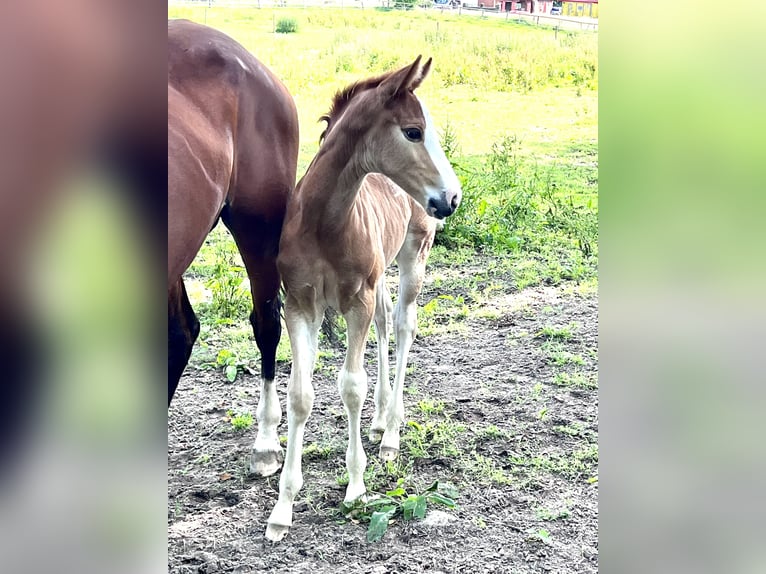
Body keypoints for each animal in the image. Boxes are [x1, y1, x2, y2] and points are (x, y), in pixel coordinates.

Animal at [268, 56, 462, 544]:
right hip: (377, 282)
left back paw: (390, 432)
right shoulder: (300, 305)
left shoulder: (356, 300)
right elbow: (301, 394)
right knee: (385, 322)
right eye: (413, 131)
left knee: (404, 326)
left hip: (414, 255)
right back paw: (378, 420)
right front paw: (282, 508)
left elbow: (350, 386)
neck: (323, 223)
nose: (452, 197)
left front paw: (355, 486)